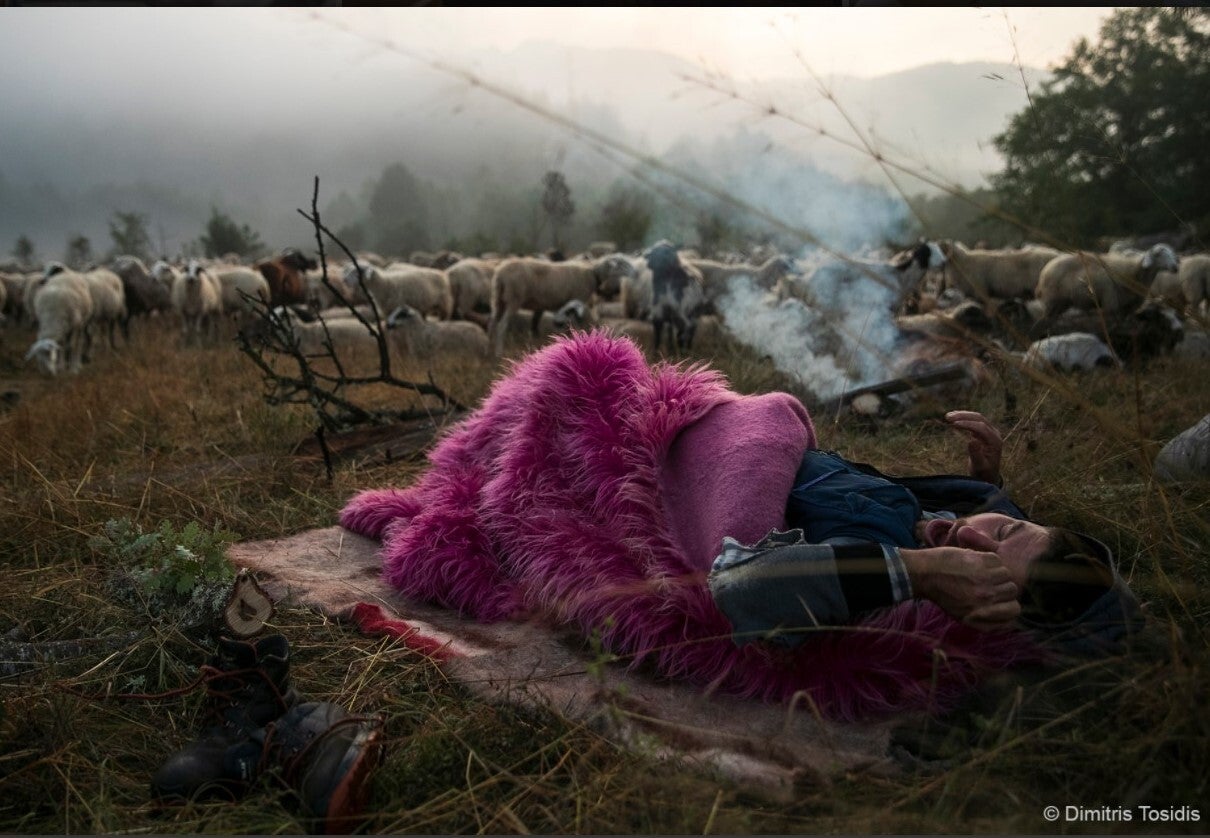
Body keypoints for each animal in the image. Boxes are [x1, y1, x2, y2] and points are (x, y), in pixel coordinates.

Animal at [1030, 243, 1180, 324]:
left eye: (1172, 253)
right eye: (1158, 254)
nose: (1175, 267)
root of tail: (1044, 272)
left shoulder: (1126, 309)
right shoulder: (1111, 304)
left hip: (1061, 303)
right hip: (1052, 301)